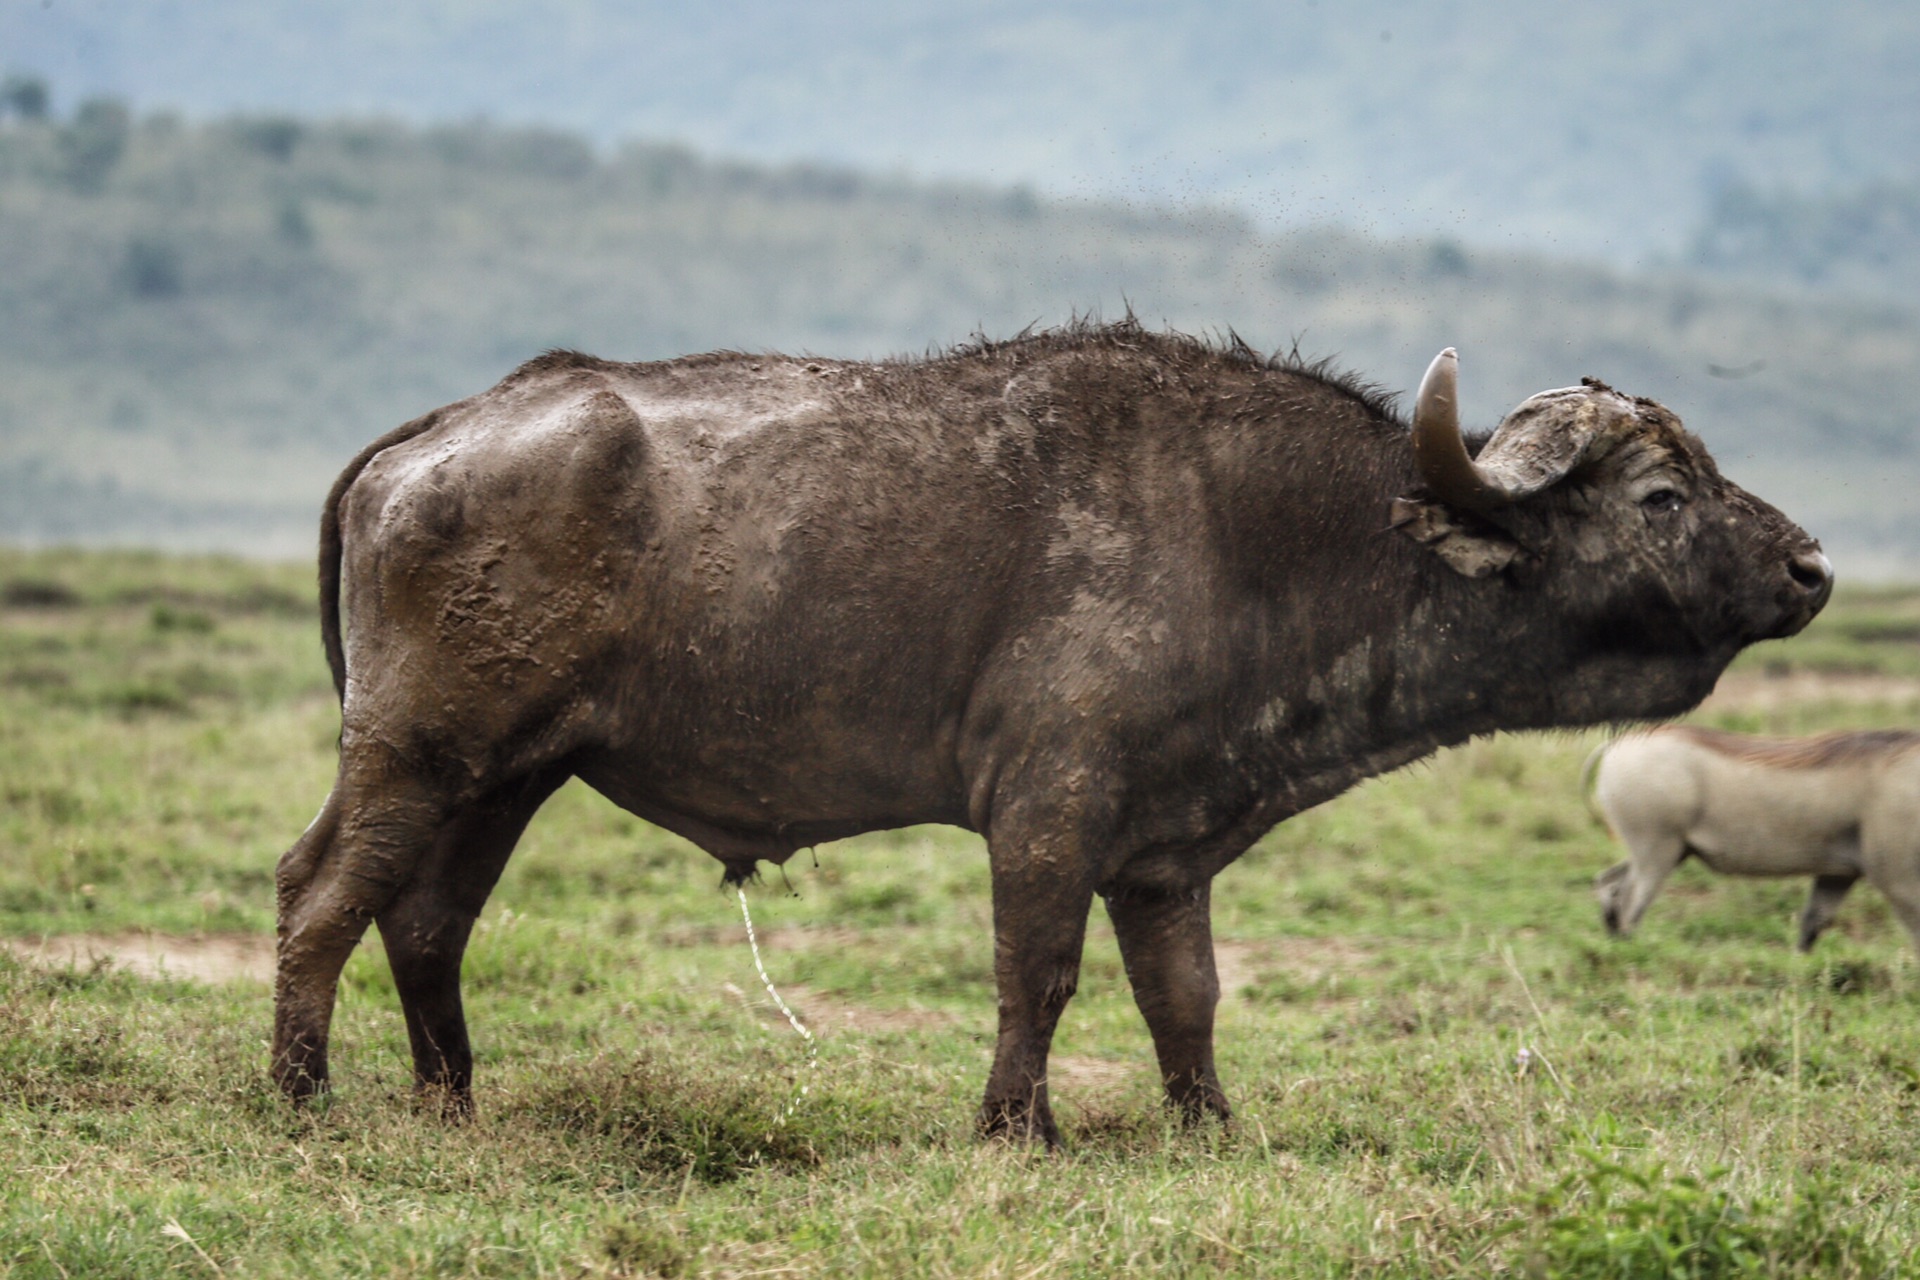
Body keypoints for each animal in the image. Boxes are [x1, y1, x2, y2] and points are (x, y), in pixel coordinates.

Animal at [270, 320, 1827, 1143]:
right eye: (1663, 498)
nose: (1811, 566)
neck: (1268, 542)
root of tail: (439, 431)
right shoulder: (1046, 817)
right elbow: (1042, 978)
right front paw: (1017, 1126)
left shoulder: (1164, 856)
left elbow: (1184, 996)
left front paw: (1209, 1126)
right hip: (416, 753)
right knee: (319, 895)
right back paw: (301, 1092)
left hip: (510, 775)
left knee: (426, 922)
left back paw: (452, 1100)